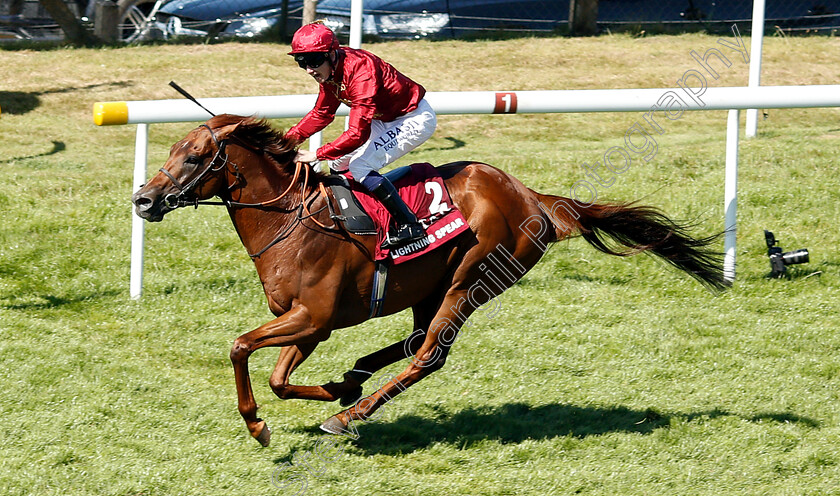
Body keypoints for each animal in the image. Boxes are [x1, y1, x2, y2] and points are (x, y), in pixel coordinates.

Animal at [133, 115, 728, 446]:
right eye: (170, 151)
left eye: (193, 156)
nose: (143, 198)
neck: (291, 221)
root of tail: (535, 198)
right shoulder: (308, 324)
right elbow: (279, 378)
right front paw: (329, 388)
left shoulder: (314, 318)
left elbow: (240, 348)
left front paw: (259, 425)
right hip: (429, 288)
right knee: (416, 340)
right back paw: (353, 381)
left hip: (472, 280)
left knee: (429, 354)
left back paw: (350, 415)